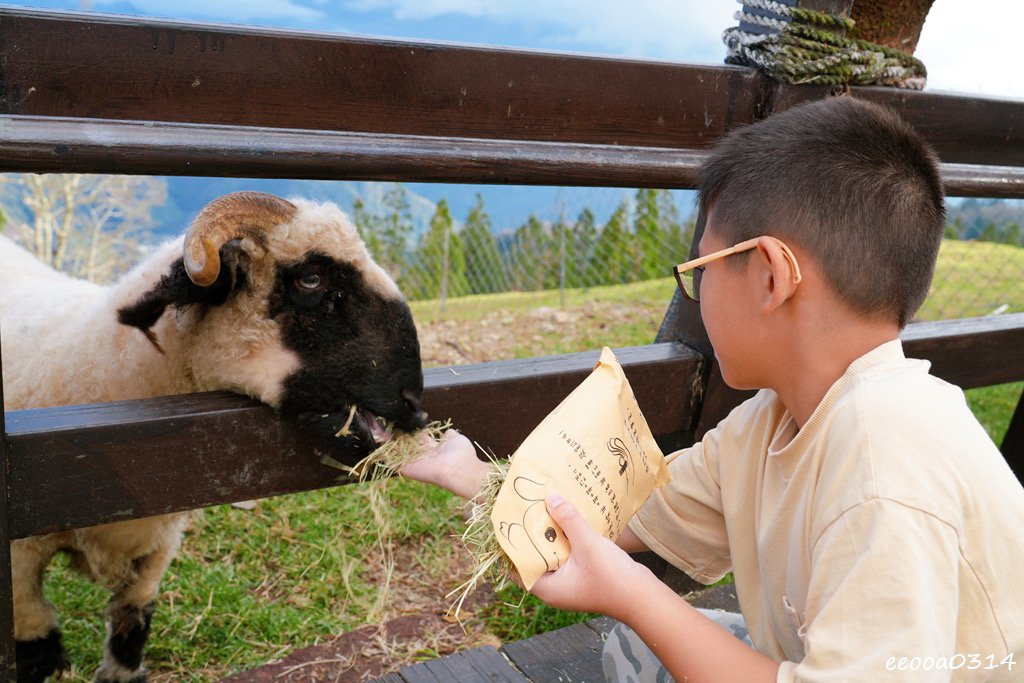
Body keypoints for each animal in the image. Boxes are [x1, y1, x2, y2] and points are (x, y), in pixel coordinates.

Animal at [0, 192, 423, 683]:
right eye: (311, 279)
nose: (416, 404)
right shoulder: (19, 555)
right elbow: (36, 637)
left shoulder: (159, 545)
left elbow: (132, 620)